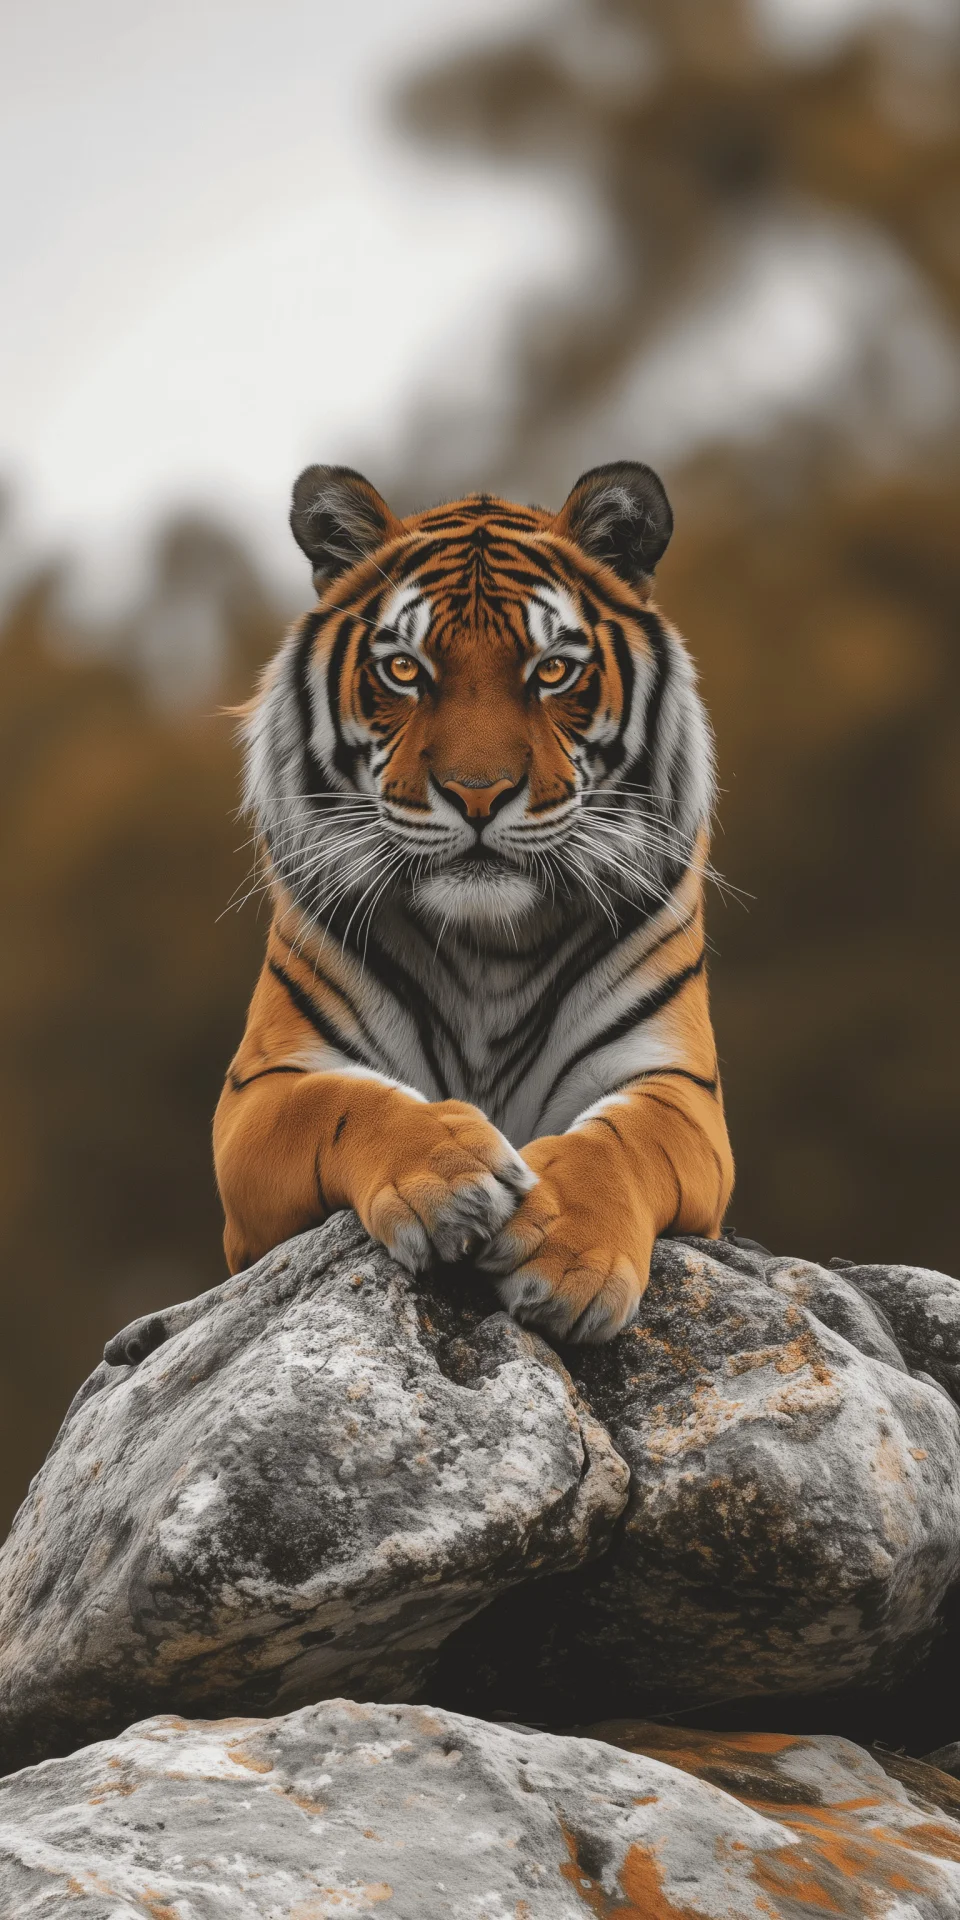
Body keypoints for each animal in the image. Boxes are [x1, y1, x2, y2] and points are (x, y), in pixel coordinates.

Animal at [213, 460, 734, 1343]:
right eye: (404, 670)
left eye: (553, 670)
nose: (478, 793)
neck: (489, 946)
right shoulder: (259, 1094)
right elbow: (341, 1100)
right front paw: (451, 1178)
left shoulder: (678, 1083)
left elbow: (623, 1140)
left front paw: (569, 1259)